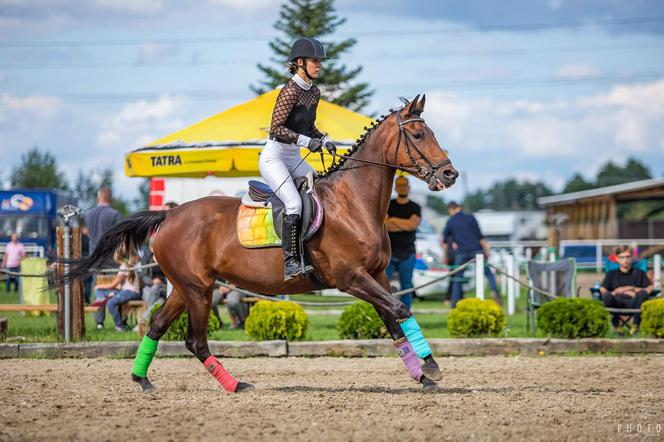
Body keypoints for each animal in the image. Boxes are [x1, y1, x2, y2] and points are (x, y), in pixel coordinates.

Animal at [67, 94, 460, 394]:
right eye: (418, 134)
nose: (450, 174)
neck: (353, 203)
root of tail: (169, 216)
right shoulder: (351, 278)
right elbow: (401, 309)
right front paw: (431, 366)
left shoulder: (376, 275)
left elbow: (394, 320)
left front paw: (423, 375)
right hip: (198, 289)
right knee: (195, 340)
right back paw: (234, 385)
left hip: (184, 287)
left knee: (157, 326)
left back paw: (143, 380)